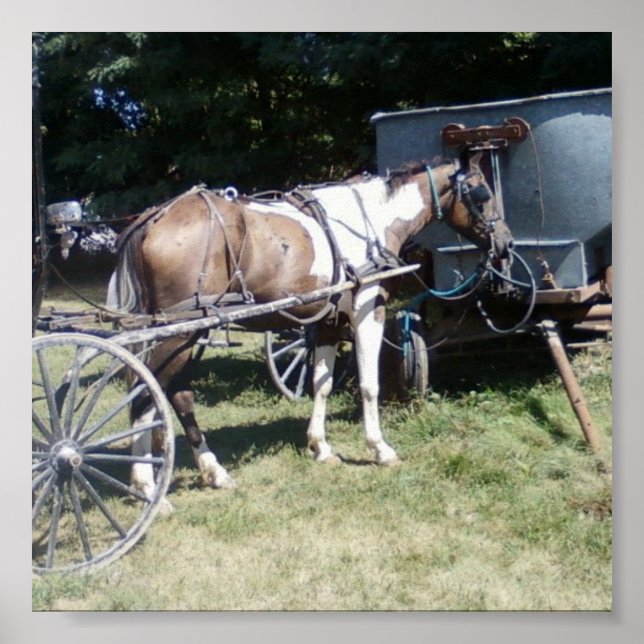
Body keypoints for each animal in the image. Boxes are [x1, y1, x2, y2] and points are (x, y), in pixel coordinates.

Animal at [108, 153, 513, 500]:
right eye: (483, 193)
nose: (506, 244)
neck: (373, 220)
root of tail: (153, 217)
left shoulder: (327, 322)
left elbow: (322, 383)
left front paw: (321, 446)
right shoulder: (369, 307)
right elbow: (369, 384)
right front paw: (379, 448)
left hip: (189, 333)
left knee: (173, 393)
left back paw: (212, 472)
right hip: (180, 331)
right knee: (145, 394)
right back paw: (147, 486)